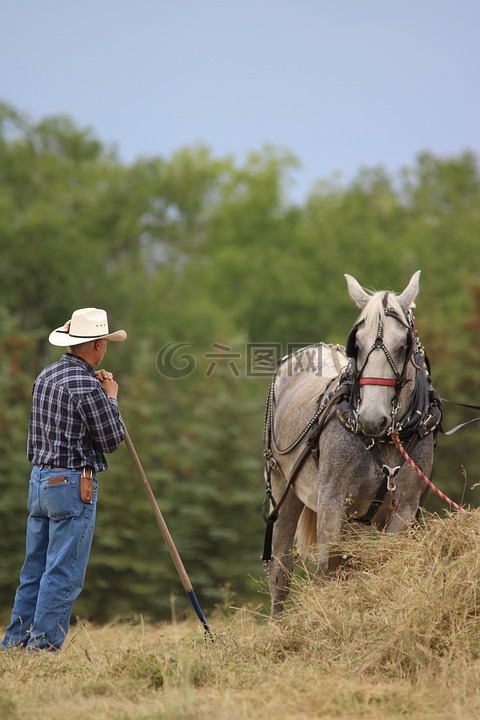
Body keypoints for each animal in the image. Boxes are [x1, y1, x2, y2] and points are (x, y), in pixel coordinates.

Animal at [262, 271, 442, 615]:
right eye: (355, 344)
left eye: (403, 345)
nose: (372, 418)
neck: (383, 440)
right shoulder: (332, 501)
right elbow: (326, 570)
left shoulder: (404, 509)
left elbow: (382, 565)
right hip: (282, 487)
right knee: (281, 571)